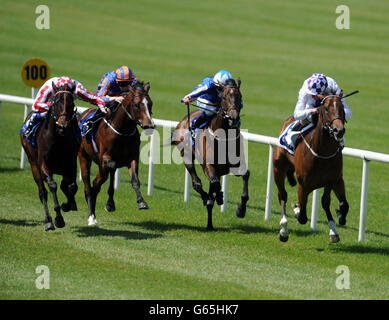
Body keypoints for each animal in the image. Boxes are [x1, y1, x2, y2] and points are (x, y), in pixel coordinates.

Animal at [20, 84, 80, 231]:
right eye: (56, 102)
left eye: (71, 104)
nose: (63, 126)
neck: (59, 139)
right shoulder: (43, 163)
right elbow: (53, 186)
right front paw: (58, 218)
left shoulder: (71, 163)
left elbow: (72, 186)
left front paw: (67, 205)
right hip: (33, 164)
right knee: (42, 192)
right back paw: (48, 221)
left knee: (65, 185)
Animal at [76, 80, 154, 225]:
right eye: (136, 105)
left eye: (150, 103)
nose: (149, 125)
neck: (122, 131)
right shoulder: (105, 158)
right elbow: (100, 179)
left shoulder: (132, 158)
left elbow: (135, 180)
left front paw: (141, 202)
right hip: (83, 156)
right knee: (89, 185)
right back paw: (91, 216)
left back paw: (109, 203)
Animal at [173, 79, 249, 231]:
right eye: (224, 97)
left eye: (239, 96)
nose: (233, 118)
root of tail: (183, 121)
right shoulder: (208, 166)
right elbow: (214, 183)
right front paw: (218, 197)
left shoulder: (236, 165)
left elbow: (245, 175)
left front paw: (241, 209)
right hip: (187, 156)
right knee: (197, 183)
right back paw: (208, 201)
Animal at [272, 94, 348, 244]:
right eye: (326, 108)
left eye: (342, 108)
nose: (339, 130)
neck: (322, 153)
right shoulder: (303, 186)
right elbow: (302, 216)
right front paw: (296, 209)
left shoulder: (335, 180)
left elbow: (342, 204)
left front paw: (338, 220)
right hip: (278, 169)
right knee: (282, 195)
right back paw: (283, 230)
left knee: (325, 202)